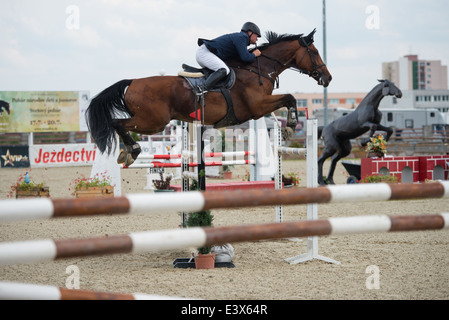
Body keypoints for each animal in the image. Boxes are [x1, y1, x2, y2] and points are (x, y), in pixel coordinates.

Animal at [85, 28, 328, 166]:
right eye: (315, 52)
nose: (328, 78)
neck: (257, 68)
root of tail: (132, 82)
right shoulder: (257, 107)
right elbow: (290, 98)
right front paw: (291, 126)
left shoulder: (259, 108)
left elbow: (289, 98)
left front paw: (290, 125)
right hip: (153, 122)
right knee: (117, 123)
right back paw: (132, 150)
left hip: (150, 122)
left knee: (119, 124)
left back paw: (127, 152)